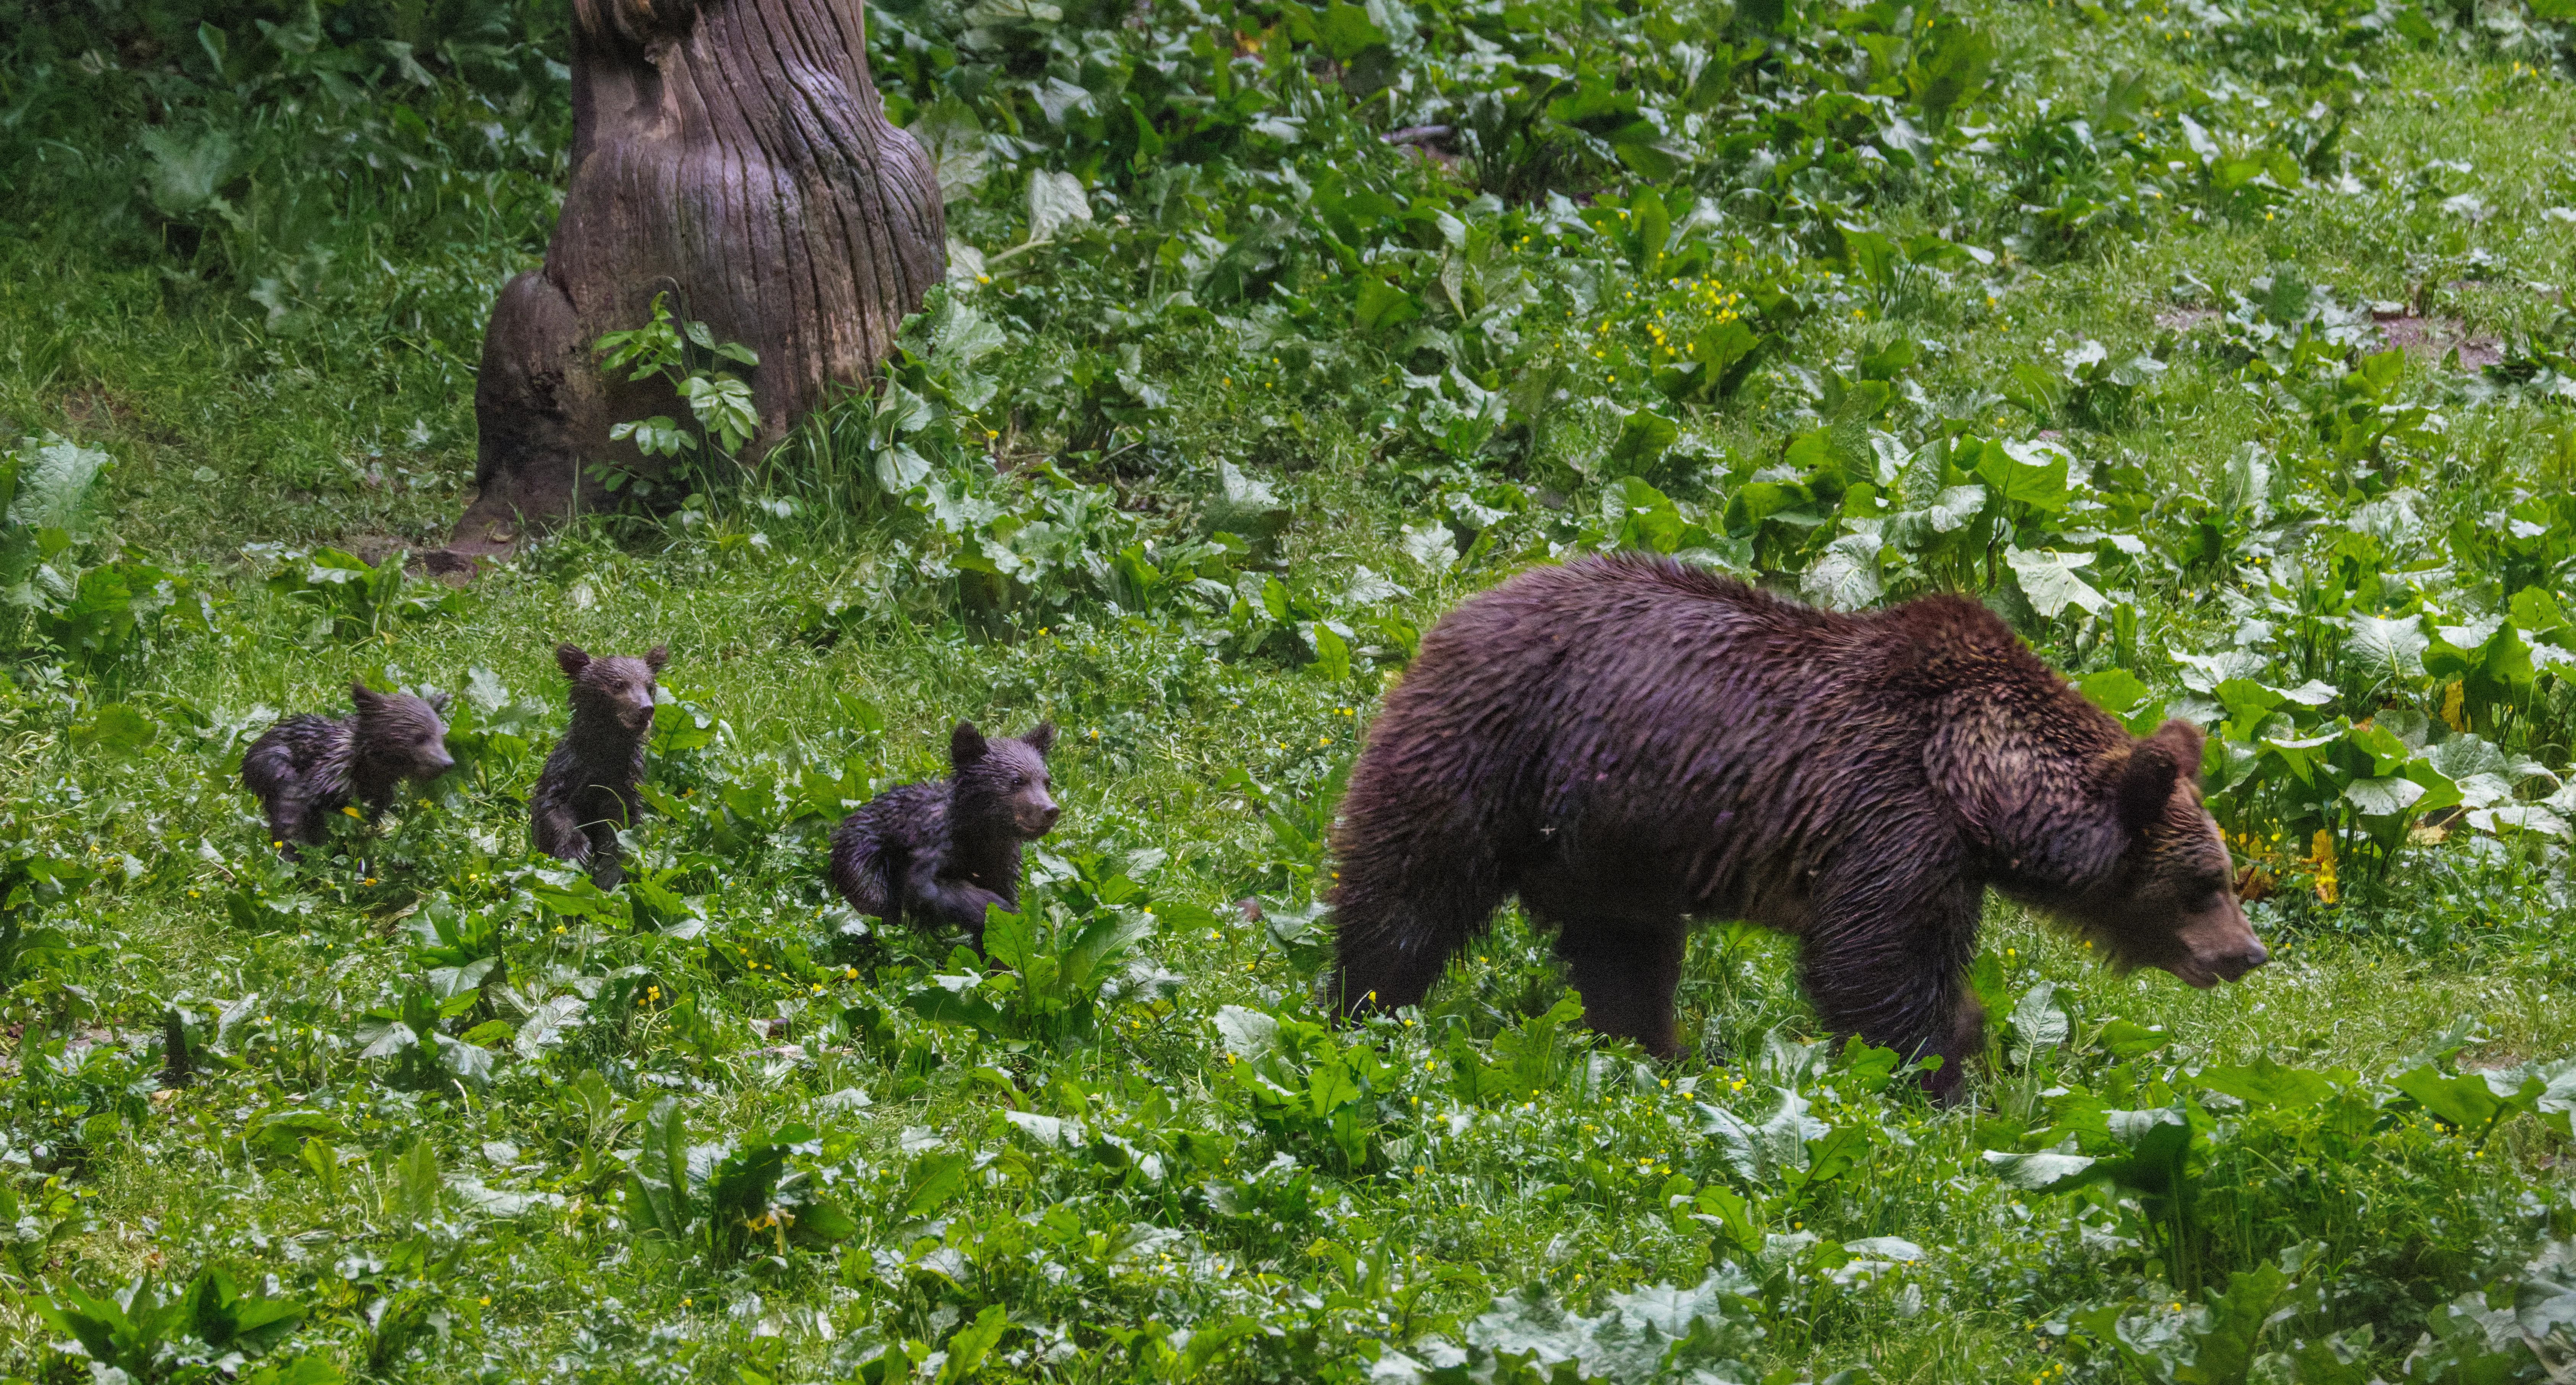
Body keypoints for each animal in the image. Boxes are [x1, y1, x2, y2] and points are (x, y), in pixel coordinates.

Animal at [241, 681, 454, 858]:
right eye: (420, 737)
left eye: (441, 736)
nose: (448, 763)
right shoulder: (299, 792)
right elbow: (291, 830)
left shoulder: (373, 806)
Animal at [531, 643, 667, 882]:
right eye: (618, 684)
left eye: (649, 686)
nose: (646, 709)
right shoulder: (566, 772)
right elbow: (553, 808)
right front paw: (578, 850)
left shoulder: (622, 784)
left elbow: (621, 825)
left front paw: (609, 866)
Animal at [829, 721, 1060, 952]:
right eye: (1017, 780)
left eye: (1047, 782)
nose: (1051, 810)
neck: (979, 833)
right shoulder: (933, 842)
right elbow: (925, 887)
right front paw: (1003, 911)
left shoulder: (1002, 862)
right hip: (864, 857)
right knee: (873, 903)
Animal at [1326, 554, 2267, 1100]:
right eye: (2205, 883)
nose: (2248, 952)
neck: (1979, 786)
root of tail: (1454, 615)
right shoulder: (1891, 816)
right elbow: (1875, 961)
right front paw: (1941, 1078)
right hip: (1493, 752)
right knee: (1406, 896)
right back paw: (1361, 1011)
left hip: (1606, 846)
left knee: (1625, 954)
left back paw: (1655, 1053)